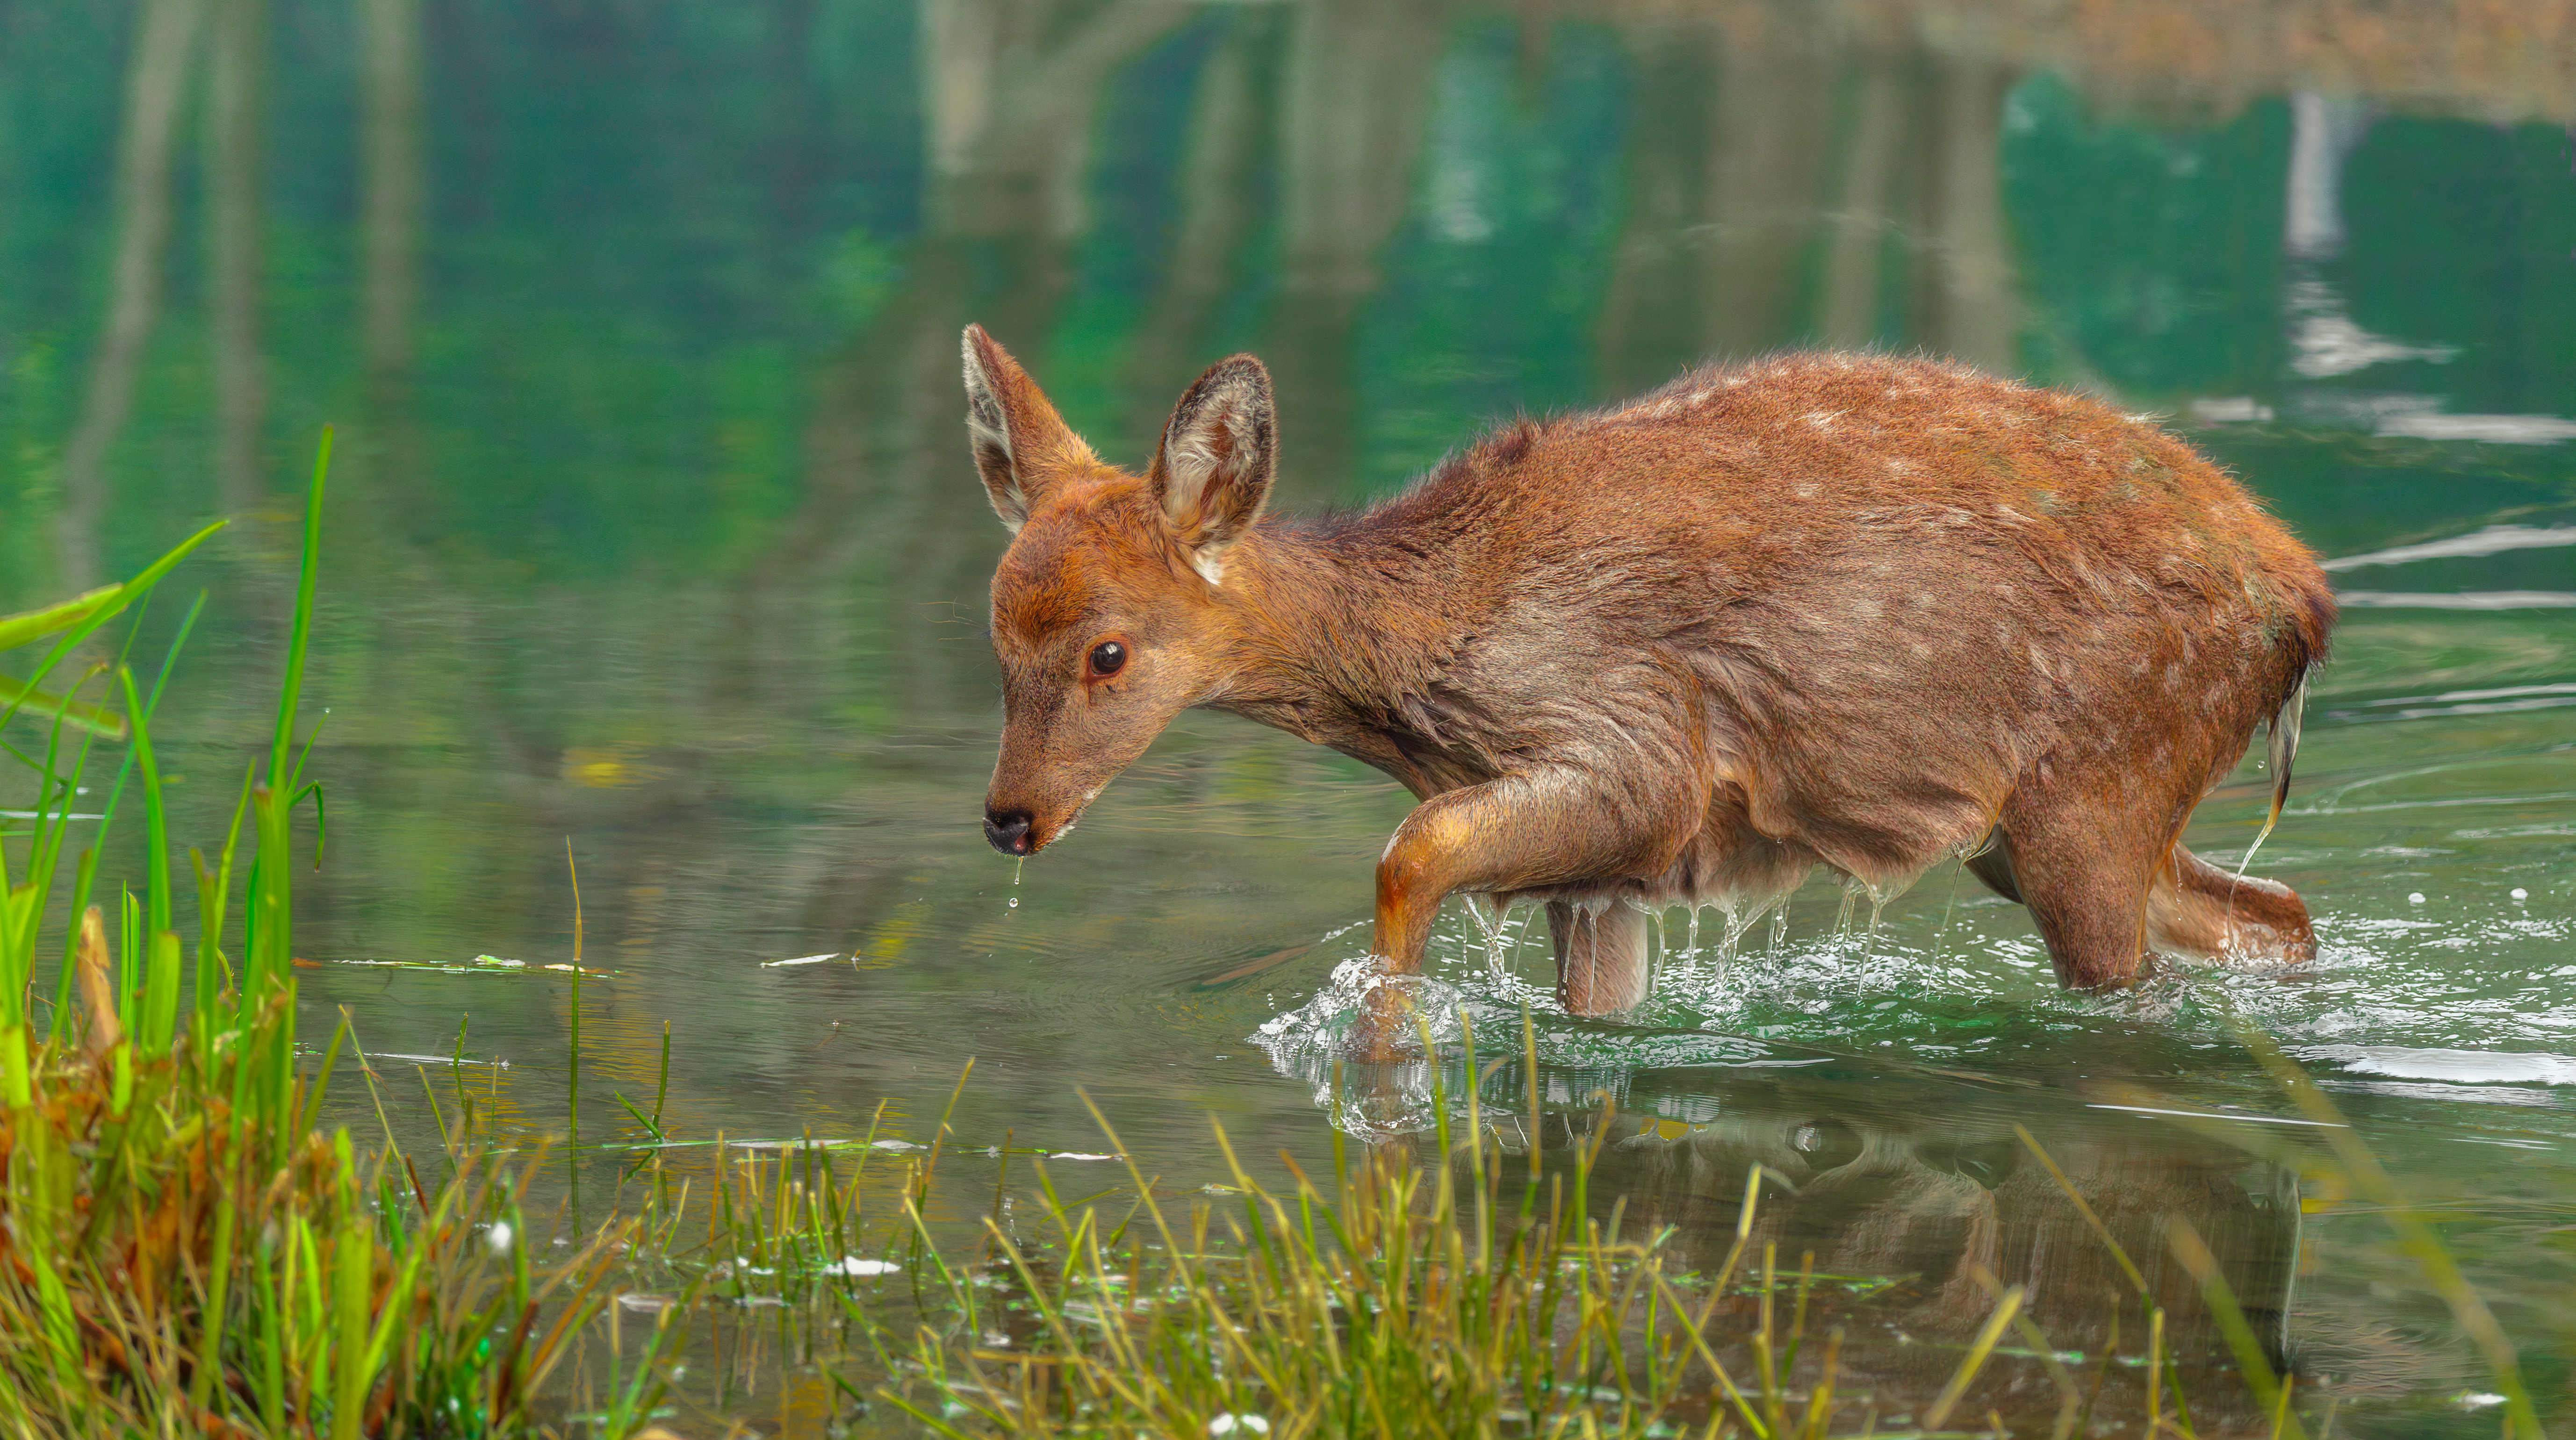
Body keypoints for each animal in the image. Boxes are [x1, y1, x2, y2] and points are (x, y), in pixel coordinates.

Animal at [963, 324, 2339, 1046]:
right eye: (996, 633)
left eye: (1107, 650)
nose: (1010, 816)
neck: (1432, 652)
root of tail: (2306, 601)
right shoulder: (1606, 876)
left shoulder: (1637, 751)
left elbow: (1408, 854)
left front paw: (1385, 1047)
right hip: (2052, 820)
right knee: (2275, 909)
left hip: (2100, 777)